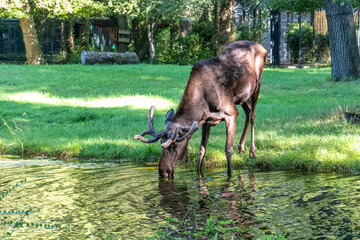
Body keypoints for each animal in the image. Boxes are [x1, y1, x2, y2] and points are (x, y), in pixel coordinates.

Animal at [135, 40, 268, 177]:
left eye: (174, 145)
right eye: (161, 142)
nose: (163, 171)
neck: (202, 103)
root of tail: (262, 47)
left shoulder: (231, 113)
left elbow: (227, 150)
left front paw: (229, 175)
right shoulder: (206, 120)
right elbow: (202, 150)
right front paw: (199, 175)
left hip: (257, 86)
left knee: (252, 115)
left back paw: (252, 152)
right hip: (242, 97)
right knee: (248, 112)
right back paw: (241, 147)